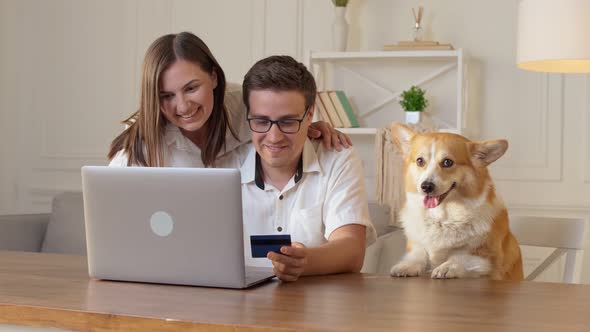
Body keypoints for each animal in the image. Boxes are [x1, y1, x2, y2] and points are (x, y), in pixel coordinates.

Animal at [390, 123, 524, 282]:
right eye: (420, 161)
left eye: (447, 162)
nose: (426, 186)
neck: (443, 218)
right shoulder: (416, 245)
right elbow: (418, 254)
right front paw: (406, 266)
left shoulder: (486, 257)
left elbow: (461, 257)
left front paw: (446, 267)